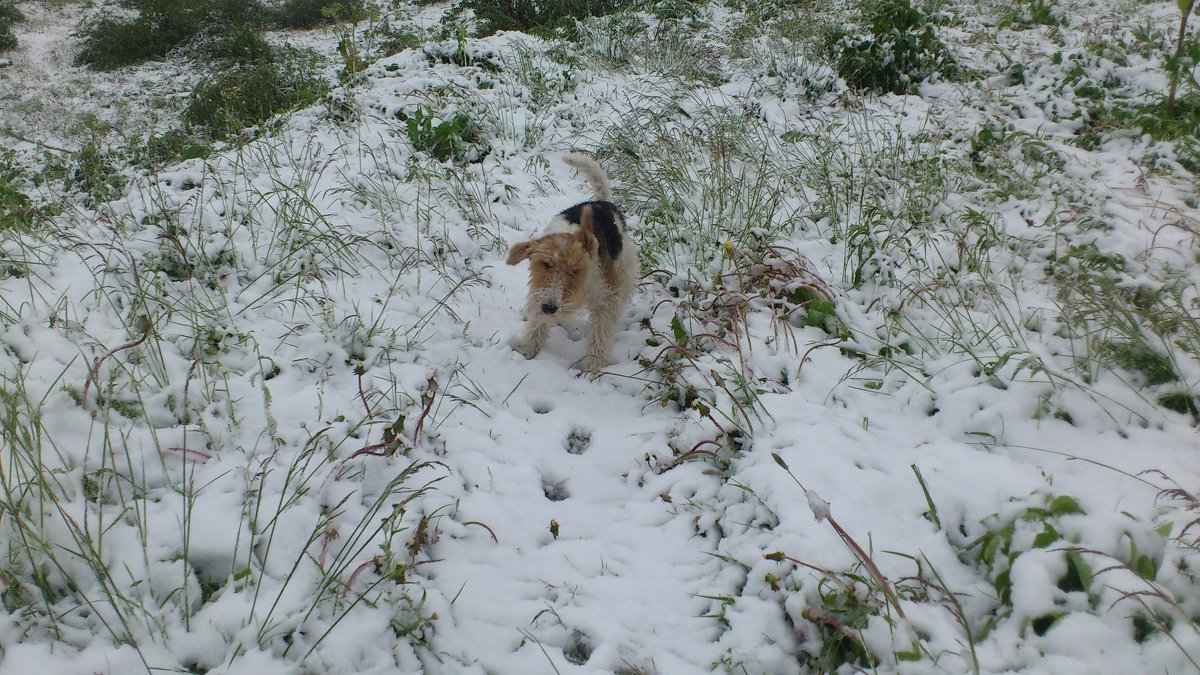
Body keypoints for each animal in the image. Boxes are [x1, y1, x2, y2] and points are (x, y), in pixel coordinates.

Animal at [504, 153, 638, 372]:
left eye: (575, 270)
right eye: (545, 264)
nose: (549, 308)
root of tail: (603, 201)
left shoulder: (607, 299)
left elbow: (599, 334)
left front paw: (591, 367)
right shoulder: (540, 293)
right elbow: (537, 324)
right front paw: (528, 351)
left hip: (625, 268)